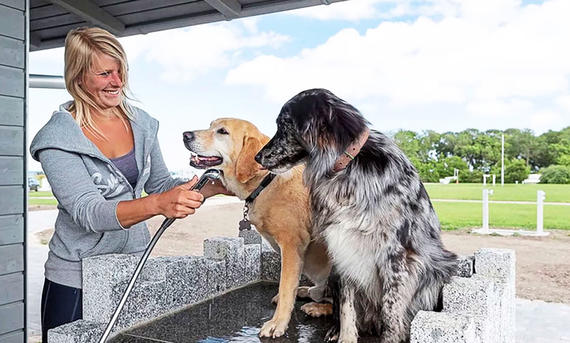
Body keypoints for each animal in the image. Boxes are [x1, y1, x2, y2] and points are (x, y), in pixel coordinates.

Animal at [182, 118, 330, 338]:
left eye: (222, 131)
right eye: (210, 125)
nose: (185, 135)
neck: (267, 181)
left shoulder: (292, 245)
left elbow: (286, 287)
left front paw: (278, 323)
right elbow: (288, 286)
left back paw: (319, 307)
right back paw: (307, 292)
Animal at [255, 89, 460, 343]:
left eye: (283, 126)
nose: (257, 157)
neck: (348, 169)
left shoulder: (397, 256)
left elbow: (391, 314)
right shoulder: (342, 246)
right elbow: (346, 307)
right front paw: (345, 336)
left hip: (439, 268)